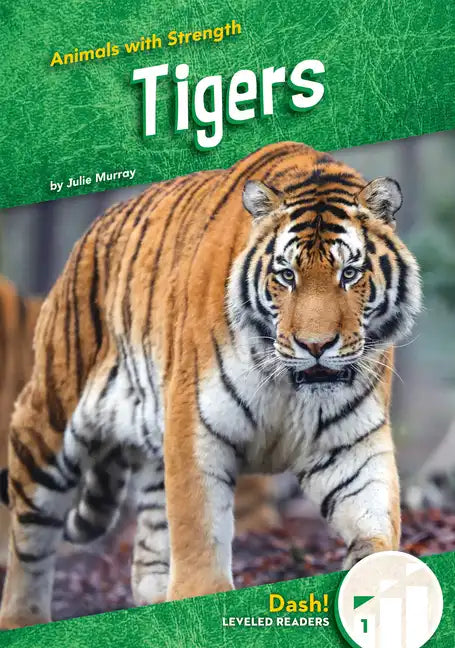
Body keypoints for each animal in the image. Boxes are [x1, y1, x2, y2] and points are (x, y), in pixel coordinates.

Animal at [0, 141, 421, 629]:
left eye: (349, 274)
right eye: (287, 276)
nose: (315, 346)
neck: (288, 384)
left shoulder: (351, 449)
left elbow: (376, 527)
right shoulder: (196, 431)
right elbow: (199, 539)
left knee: (148, 558)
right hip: (49, 417)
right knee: (29, 539)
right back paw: (22, 618)